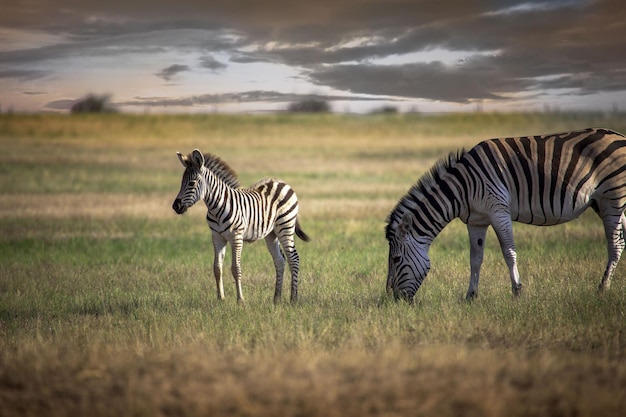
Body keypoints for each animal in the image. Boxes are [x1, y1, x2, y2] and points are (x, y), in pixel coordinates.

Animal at [172, 149, 308, 302]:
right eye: (181, 182)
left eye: (192, 183)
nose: (175, 206)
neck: (216, 207)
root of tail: (282, 183)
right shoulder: (217, 237)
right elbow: (217, 268)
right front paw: (220, 299)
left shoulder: (236, 237)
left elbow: (235, 268)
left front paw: (240, 300)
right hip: (271, 233)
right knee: (280, 260)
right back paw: (276, 299)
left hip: (286, 226)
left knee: (293, 259)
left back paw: (293, 299)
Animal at [382, 127, 624, 302]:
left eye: (396, 259)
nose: (396, 300)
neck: (462, 188)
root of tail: (619, 135)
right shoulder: (476, 221)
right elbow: (475, 258)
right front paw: (470, 297)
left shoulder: (499, 211)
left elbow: (509, 253)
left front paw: (517, 292)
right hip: (602, 202)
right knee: (620, 241)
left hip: (613, 195)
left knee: (615, 244)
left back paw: (602, 289)